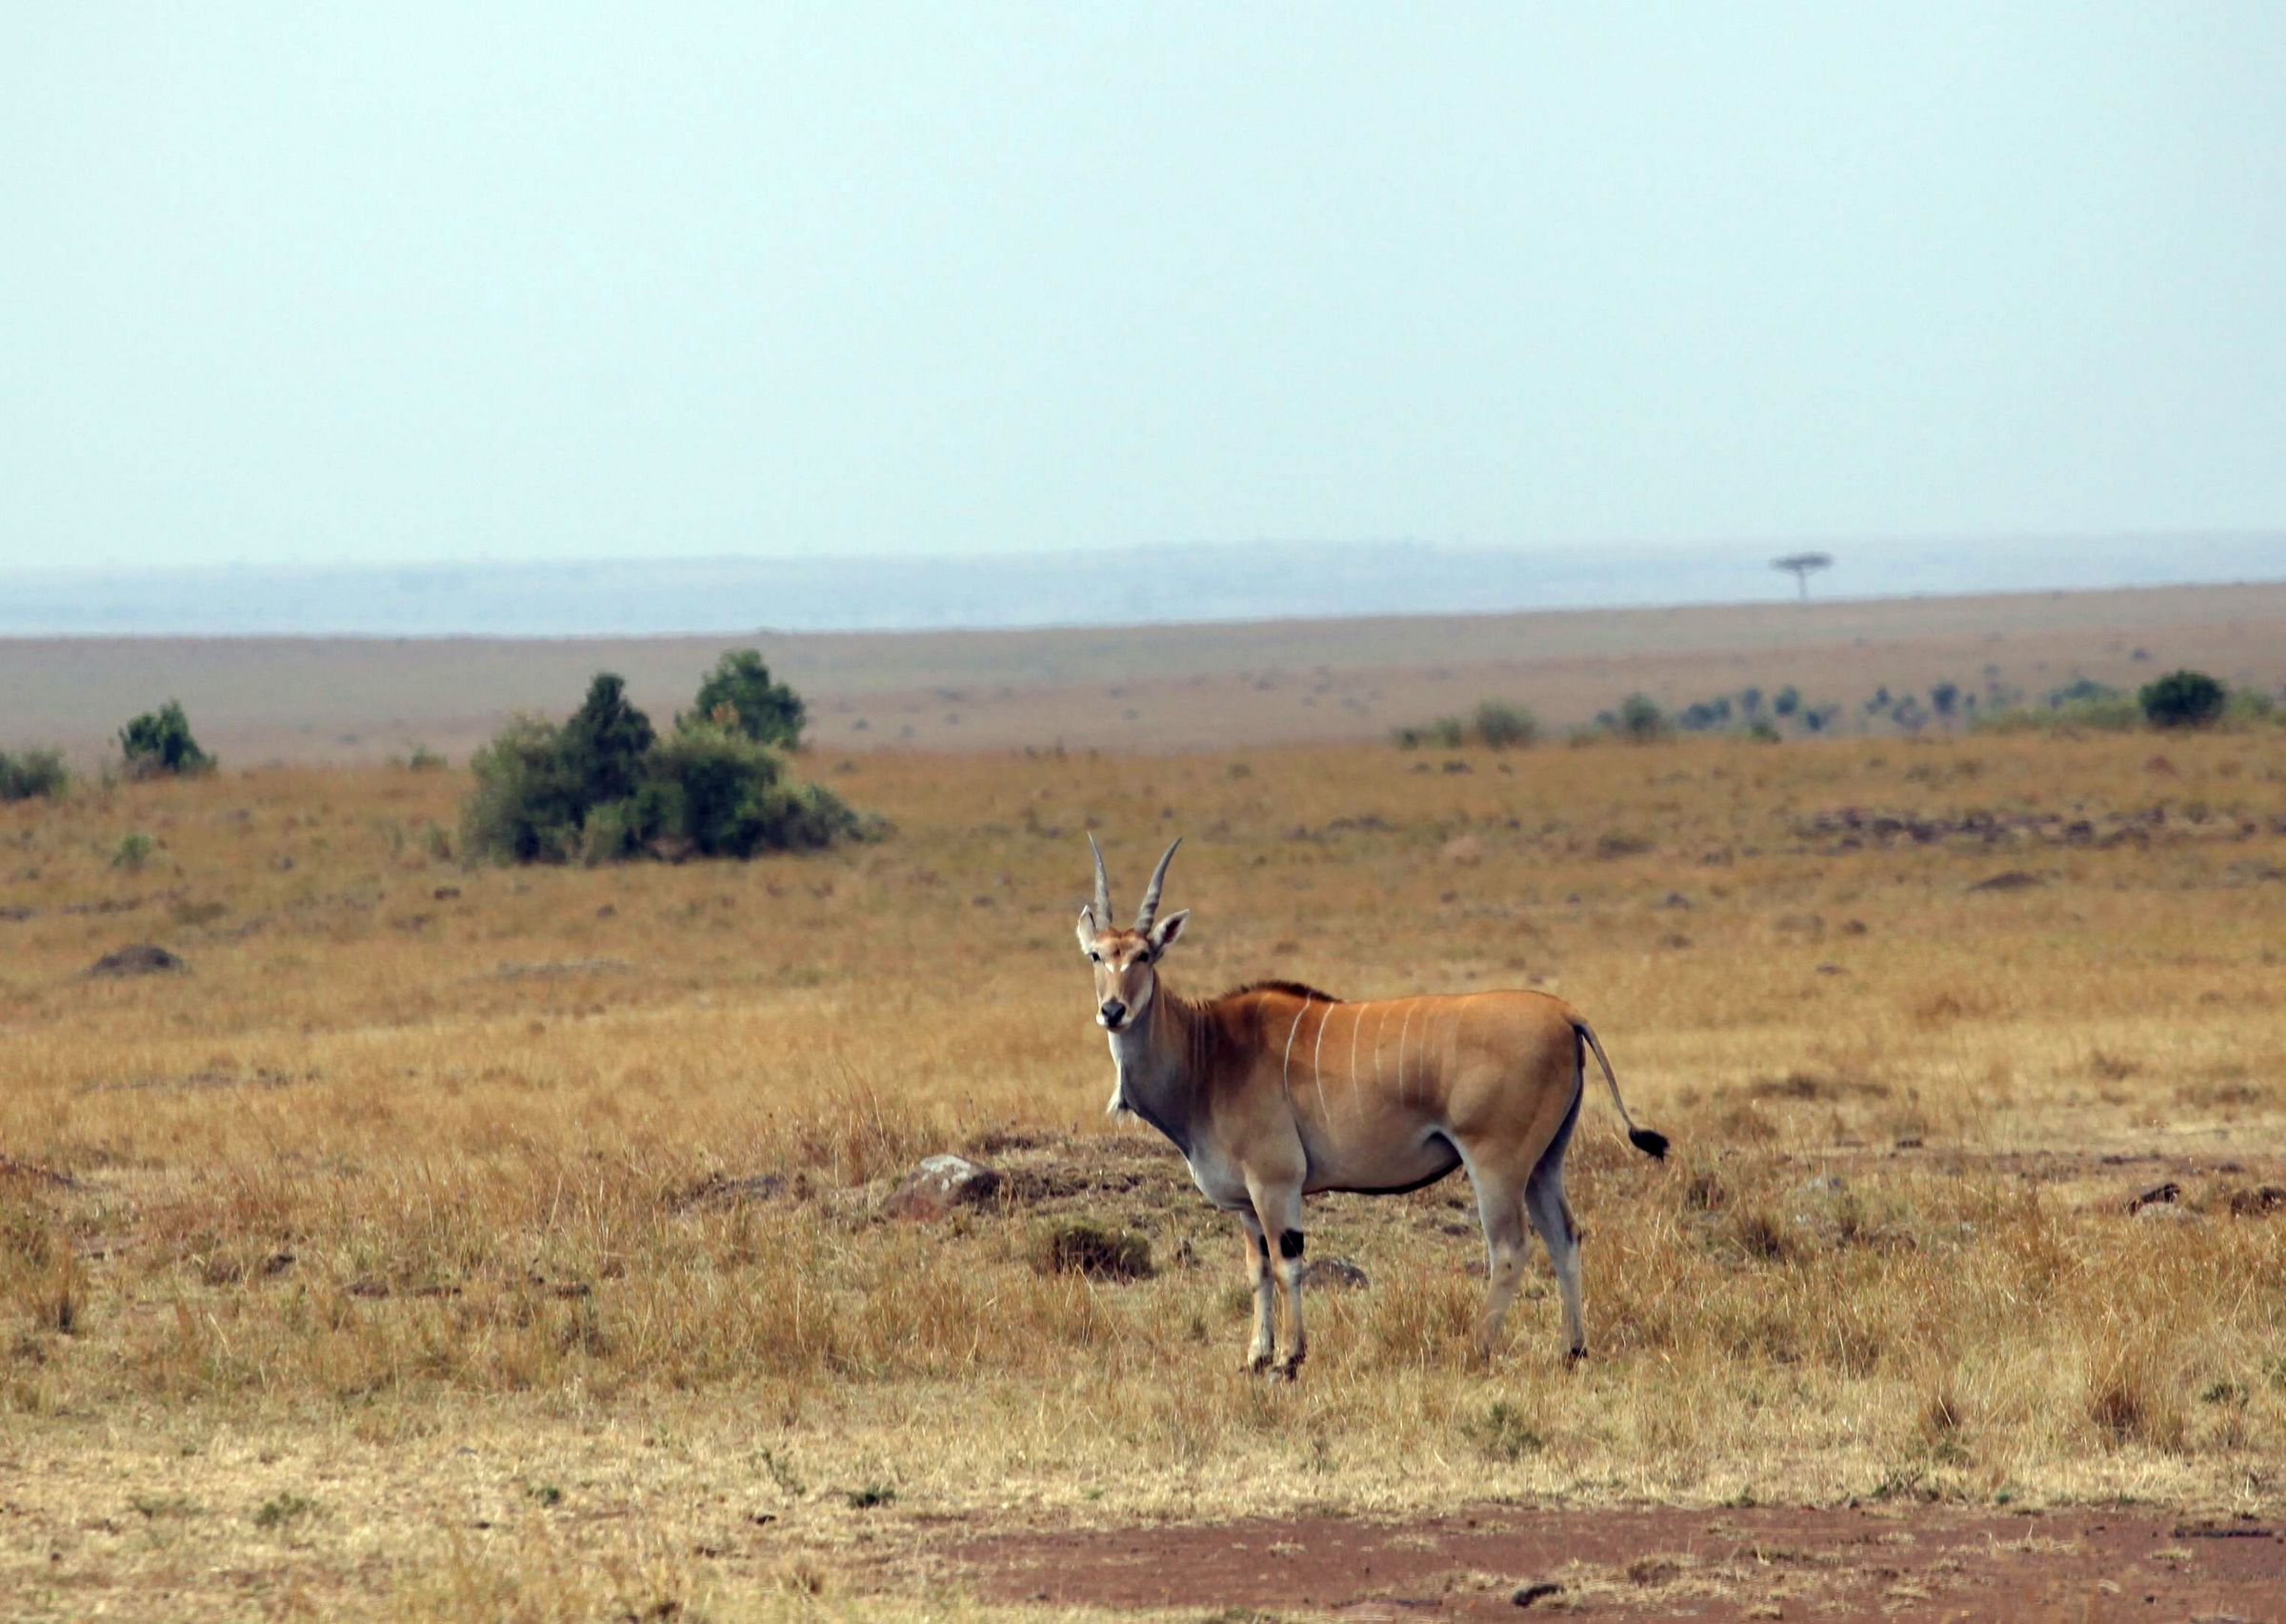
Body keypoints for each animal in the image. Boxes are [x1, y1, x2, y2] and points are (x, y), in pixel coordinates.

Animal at [1078, 841, 1673, 1391]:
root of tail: (1564, 1013)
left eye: (1145, 956)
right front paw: (1255, 1358)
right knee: (1564, 1236)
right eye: (1097, 956)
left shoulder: (1276, 1184)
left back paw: (1476, 1349)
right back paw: (1573, 1351)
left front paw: (1289, 1361)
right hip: (1545, 1161)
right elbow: (1257, 1272)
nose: (1113, 1011)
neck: (1210, 1052)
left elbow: (1287, 1265)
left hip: (1497, 1163)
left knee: (1510, 1248)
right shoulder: (1247, 1202)